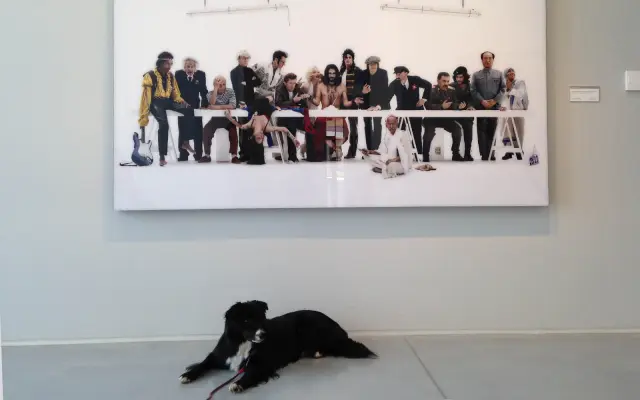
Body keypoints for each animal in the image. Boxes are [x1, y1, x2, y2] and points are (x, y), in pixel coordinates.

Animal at [179, 300, 377, 393]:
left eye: (262, 318)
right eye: (246, 320)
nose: (263, 335)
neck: (243, 344)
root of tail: (337, 325)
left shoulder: (262, 363)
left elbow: (250, 373)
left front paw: (238, 384)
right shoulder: (218, 355)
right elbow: (203, 364)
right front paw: (188, 375)